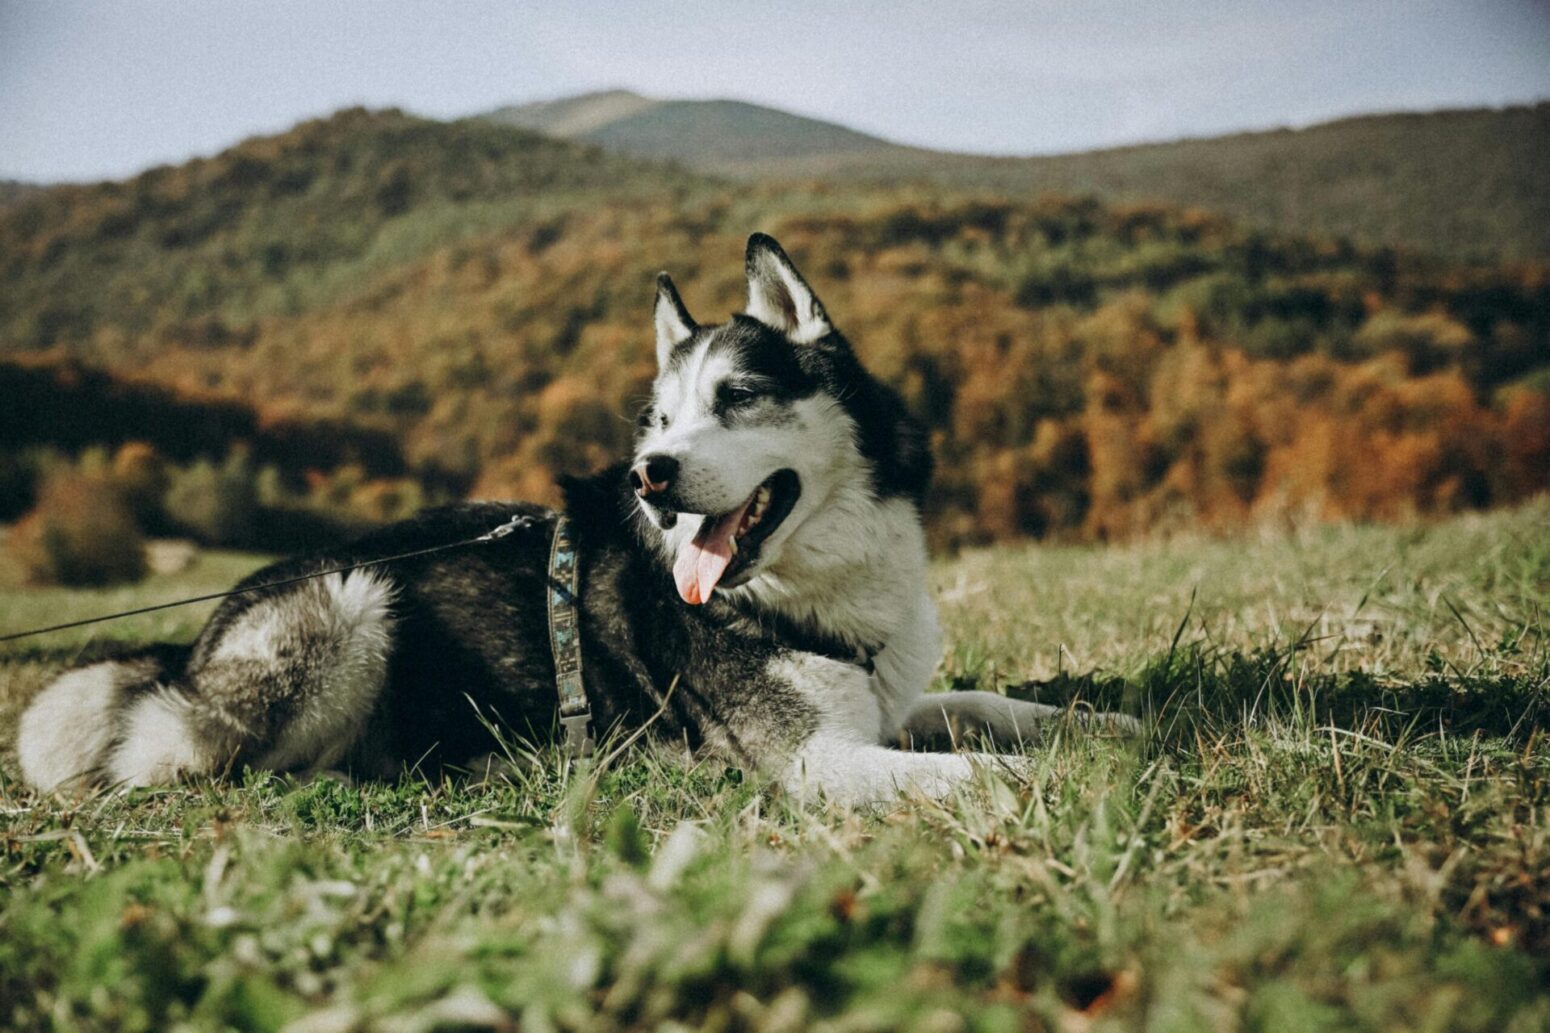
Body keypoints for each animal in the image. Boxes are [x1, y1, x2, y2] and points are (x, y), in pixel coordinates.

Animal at [15, 235, 1140, 806]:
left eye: (736, 397)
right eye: (660, 419)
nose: (650, 476)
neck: (811, 585)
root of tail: (192, 643)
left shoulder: (884, 701)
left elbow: (986, 703)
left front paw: (1098, 725)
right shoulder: (815, 761)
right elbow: (971, 767)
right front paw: (1070, 776)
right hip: (349, 600)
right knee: (186, 758)